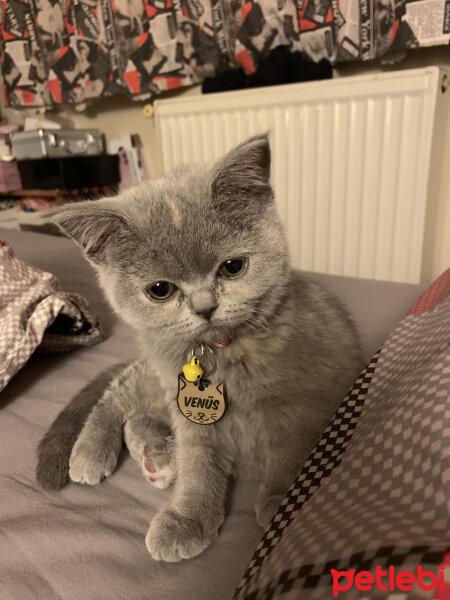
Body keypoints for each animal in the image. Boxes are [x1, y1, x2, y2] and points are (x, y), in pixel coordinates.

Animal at [37, 135, 364, 564]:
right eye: (160, 290)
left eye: (232, 267)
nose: (205, 307)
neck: (222, 353)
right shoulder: (190, 413)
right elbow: (197, 465)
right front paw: (188, 518)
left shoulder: (303, 406)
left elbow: (293, 451)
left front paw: (284, 502)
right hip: (156, 377)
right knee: (119, 392)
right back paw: (95, 453)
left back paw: (156, 455)